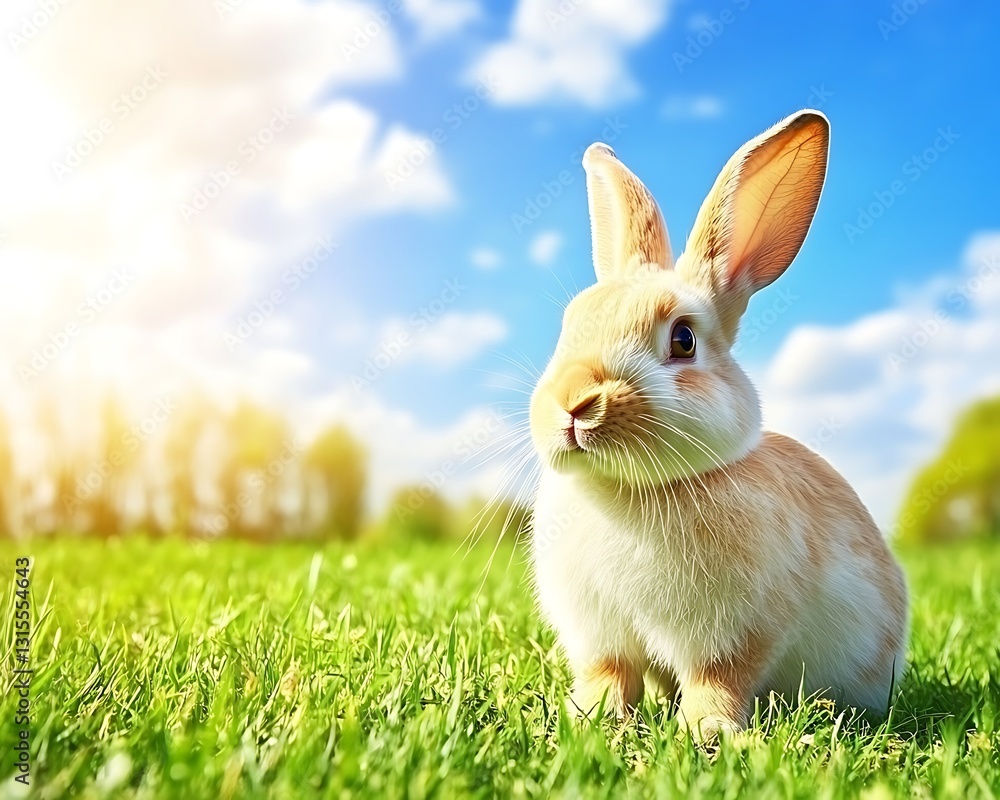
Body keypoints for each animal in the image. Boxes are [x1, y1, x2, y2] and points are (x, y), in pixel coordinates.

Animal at [528, 110, 909, 741]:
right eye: (569, 325)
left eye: (683, 339)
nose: (574, 403)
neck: (627, 492)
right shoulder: (601, 637)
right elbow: (609, 676)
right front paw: (588, 718)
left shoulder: (733, 634)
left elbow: (717, 682)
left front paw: (707, 732)